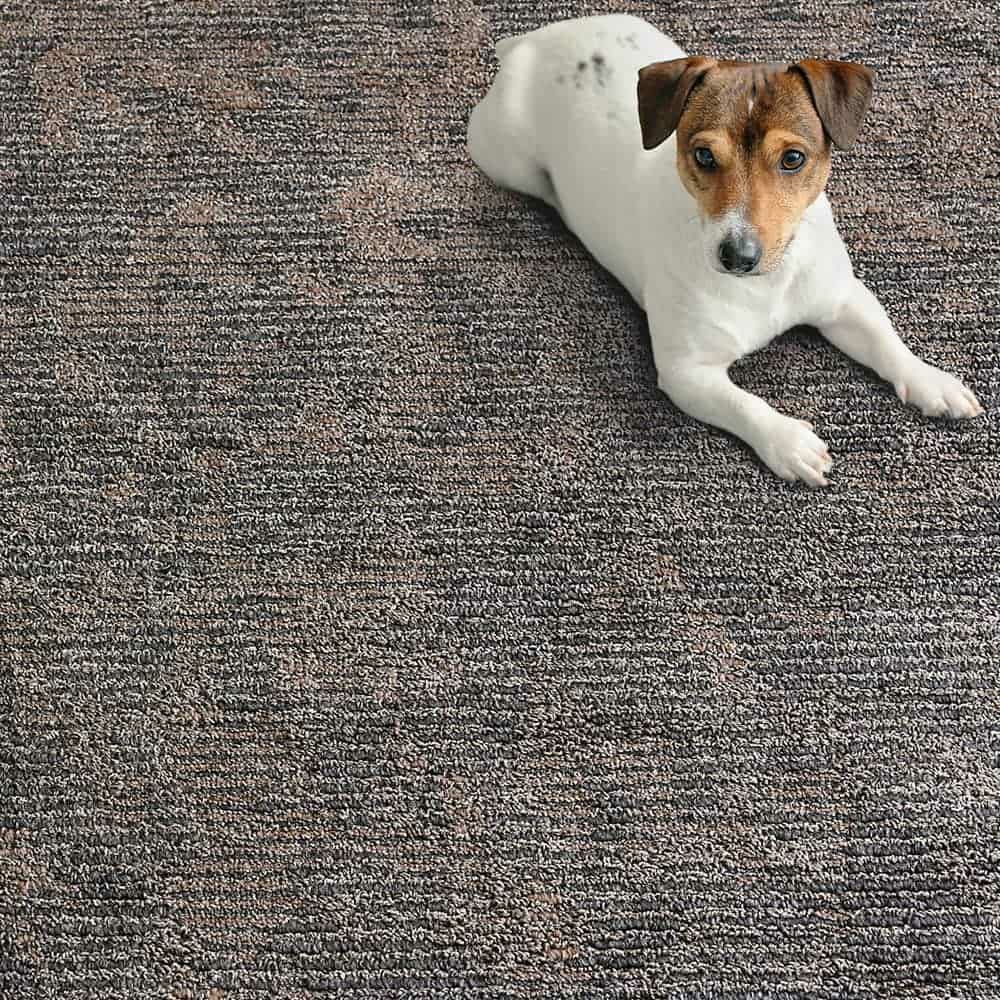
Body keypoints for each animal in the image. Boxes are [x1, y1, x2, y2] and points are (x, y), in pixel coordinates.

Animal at [466, 14, 983, 486]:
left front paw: (932, 381)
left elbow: (886, 343)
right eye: (703, 155)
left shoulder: (843, 301)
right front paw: (788, 441)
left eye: (793, 158)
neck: (767, 283)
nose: (738, 256)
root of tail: (531, 41)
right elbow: (745, 404)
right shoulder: (687, 372)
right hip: (507, 160)